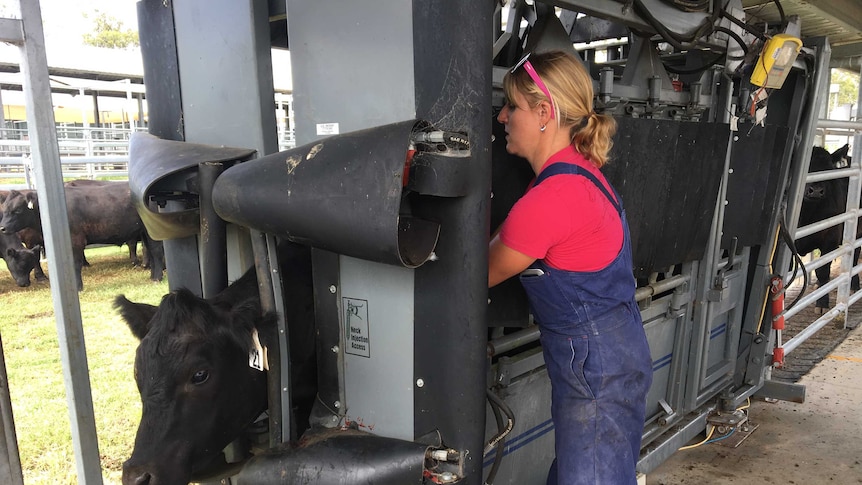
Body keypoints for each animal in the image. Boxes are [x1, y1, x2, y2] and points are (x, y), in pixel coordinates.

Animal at [0, 183, 148, 290]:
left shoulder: (76, 241)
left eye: (17, 210)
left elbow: (76, 264)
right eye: (4, 209)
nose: (2, 228)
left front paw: (78, 287)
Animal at [800, 144, 860, 306]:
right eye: (807, 166)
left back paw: (854, 285)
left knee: (854, 258)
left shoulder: (830, 238)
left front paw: (822, 303)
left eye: (828, 168)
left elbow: (822, 271)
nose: (816, 191)